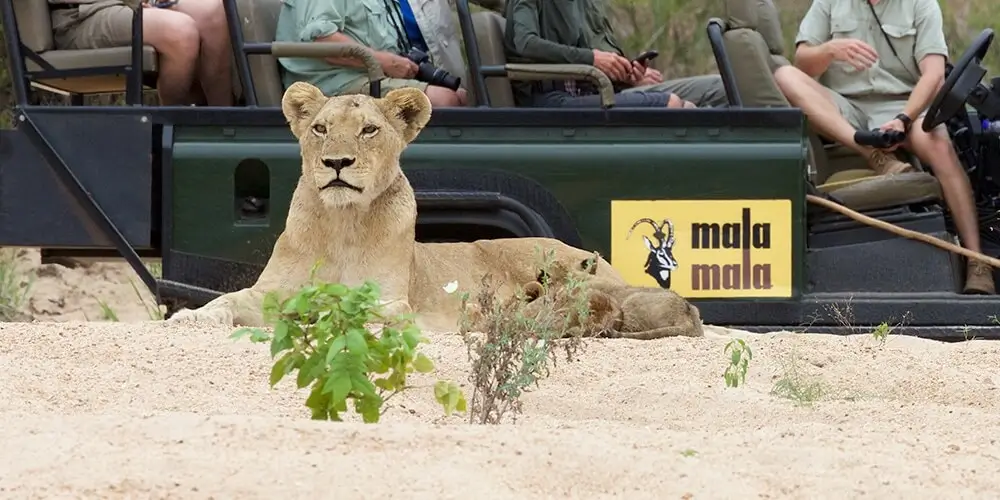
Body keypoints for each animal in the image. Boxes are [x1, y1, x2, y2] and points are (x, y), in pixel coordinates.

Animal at [167, 82, 625, 329]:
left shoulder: (394, 304)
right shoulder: (267, 292)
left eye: (368, 130)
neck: (342, 224)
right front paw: (193, 317)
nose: (336, 162)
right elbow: (226, 301)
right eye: (320, 129)